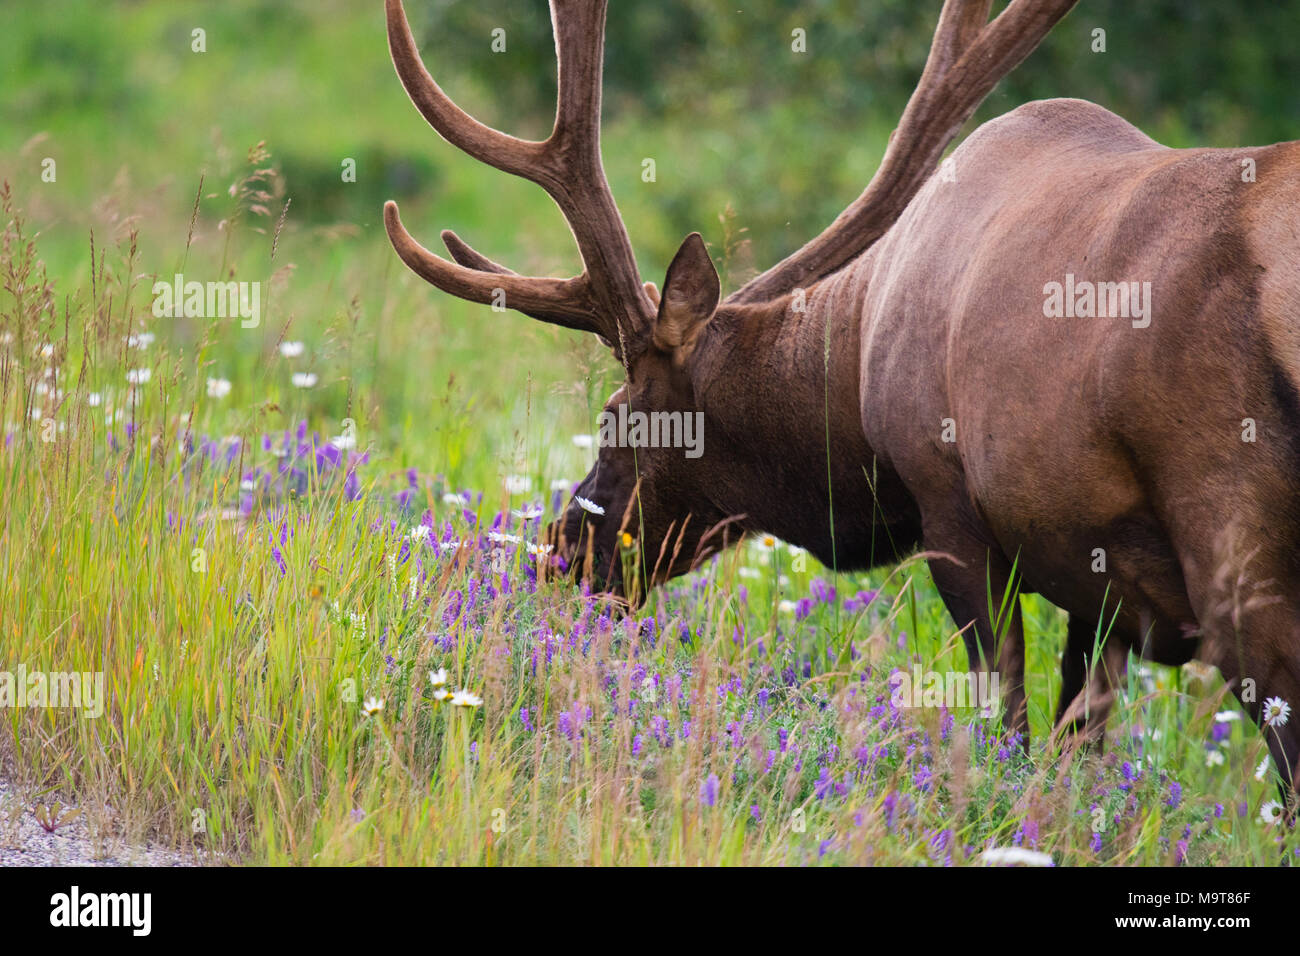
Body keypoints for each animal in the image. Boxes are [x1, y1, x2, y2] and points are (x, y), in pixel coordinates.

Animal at [379, 0, 1300, 790]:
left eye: (614, 418)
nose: (561, 554)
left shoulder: (950, 506)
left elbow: (1007, 723)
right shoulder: (1094, 574)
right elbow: (1077, 755)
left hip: (1232, 533)